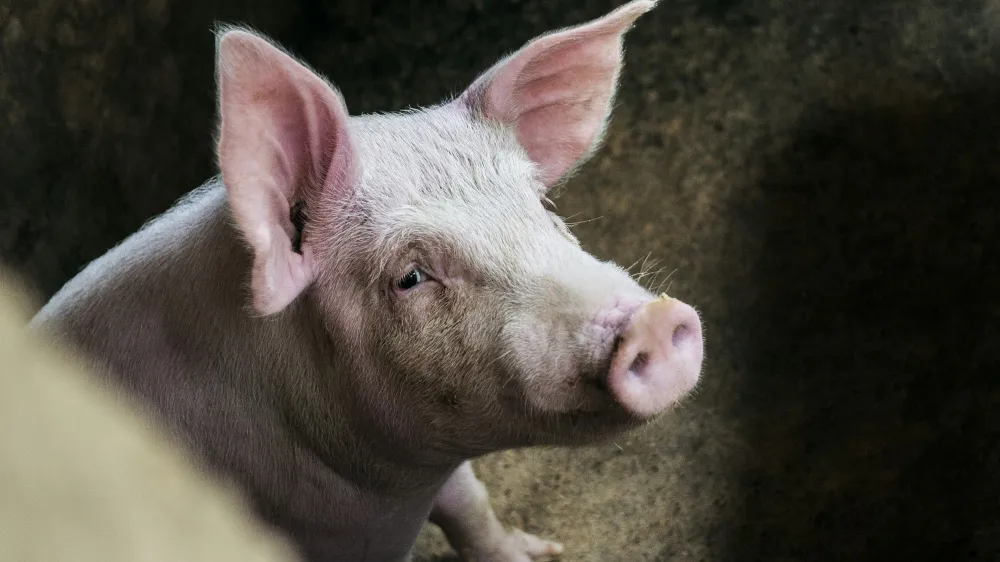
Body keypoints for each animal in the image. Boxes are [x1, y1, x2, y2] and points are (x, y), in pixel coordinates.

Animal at [28, 1, 705, 560]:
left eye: (543, 206)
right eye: (410, 277)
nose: (653, 319)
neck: (388, 494)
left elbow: (470, 504)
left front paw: (543, 553)